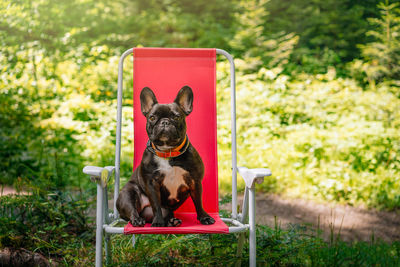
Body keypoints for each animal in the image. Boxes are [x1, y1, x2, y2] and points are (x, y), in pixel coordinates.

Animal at [116, 86, 216, 228]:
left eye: (176, 116)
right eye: (152, 117)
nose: (164, 122)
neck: (168, 152)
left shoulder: (195, 181)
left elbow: (198, 202)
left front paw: (204, 217)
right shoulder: (152, 184)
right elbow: (156, 205)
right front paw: (158, 222)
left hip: (166, 209)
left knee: (165, 213)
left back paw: (171, 221)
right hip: (127, 194)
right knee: (132, 210)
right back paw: (138, 220)